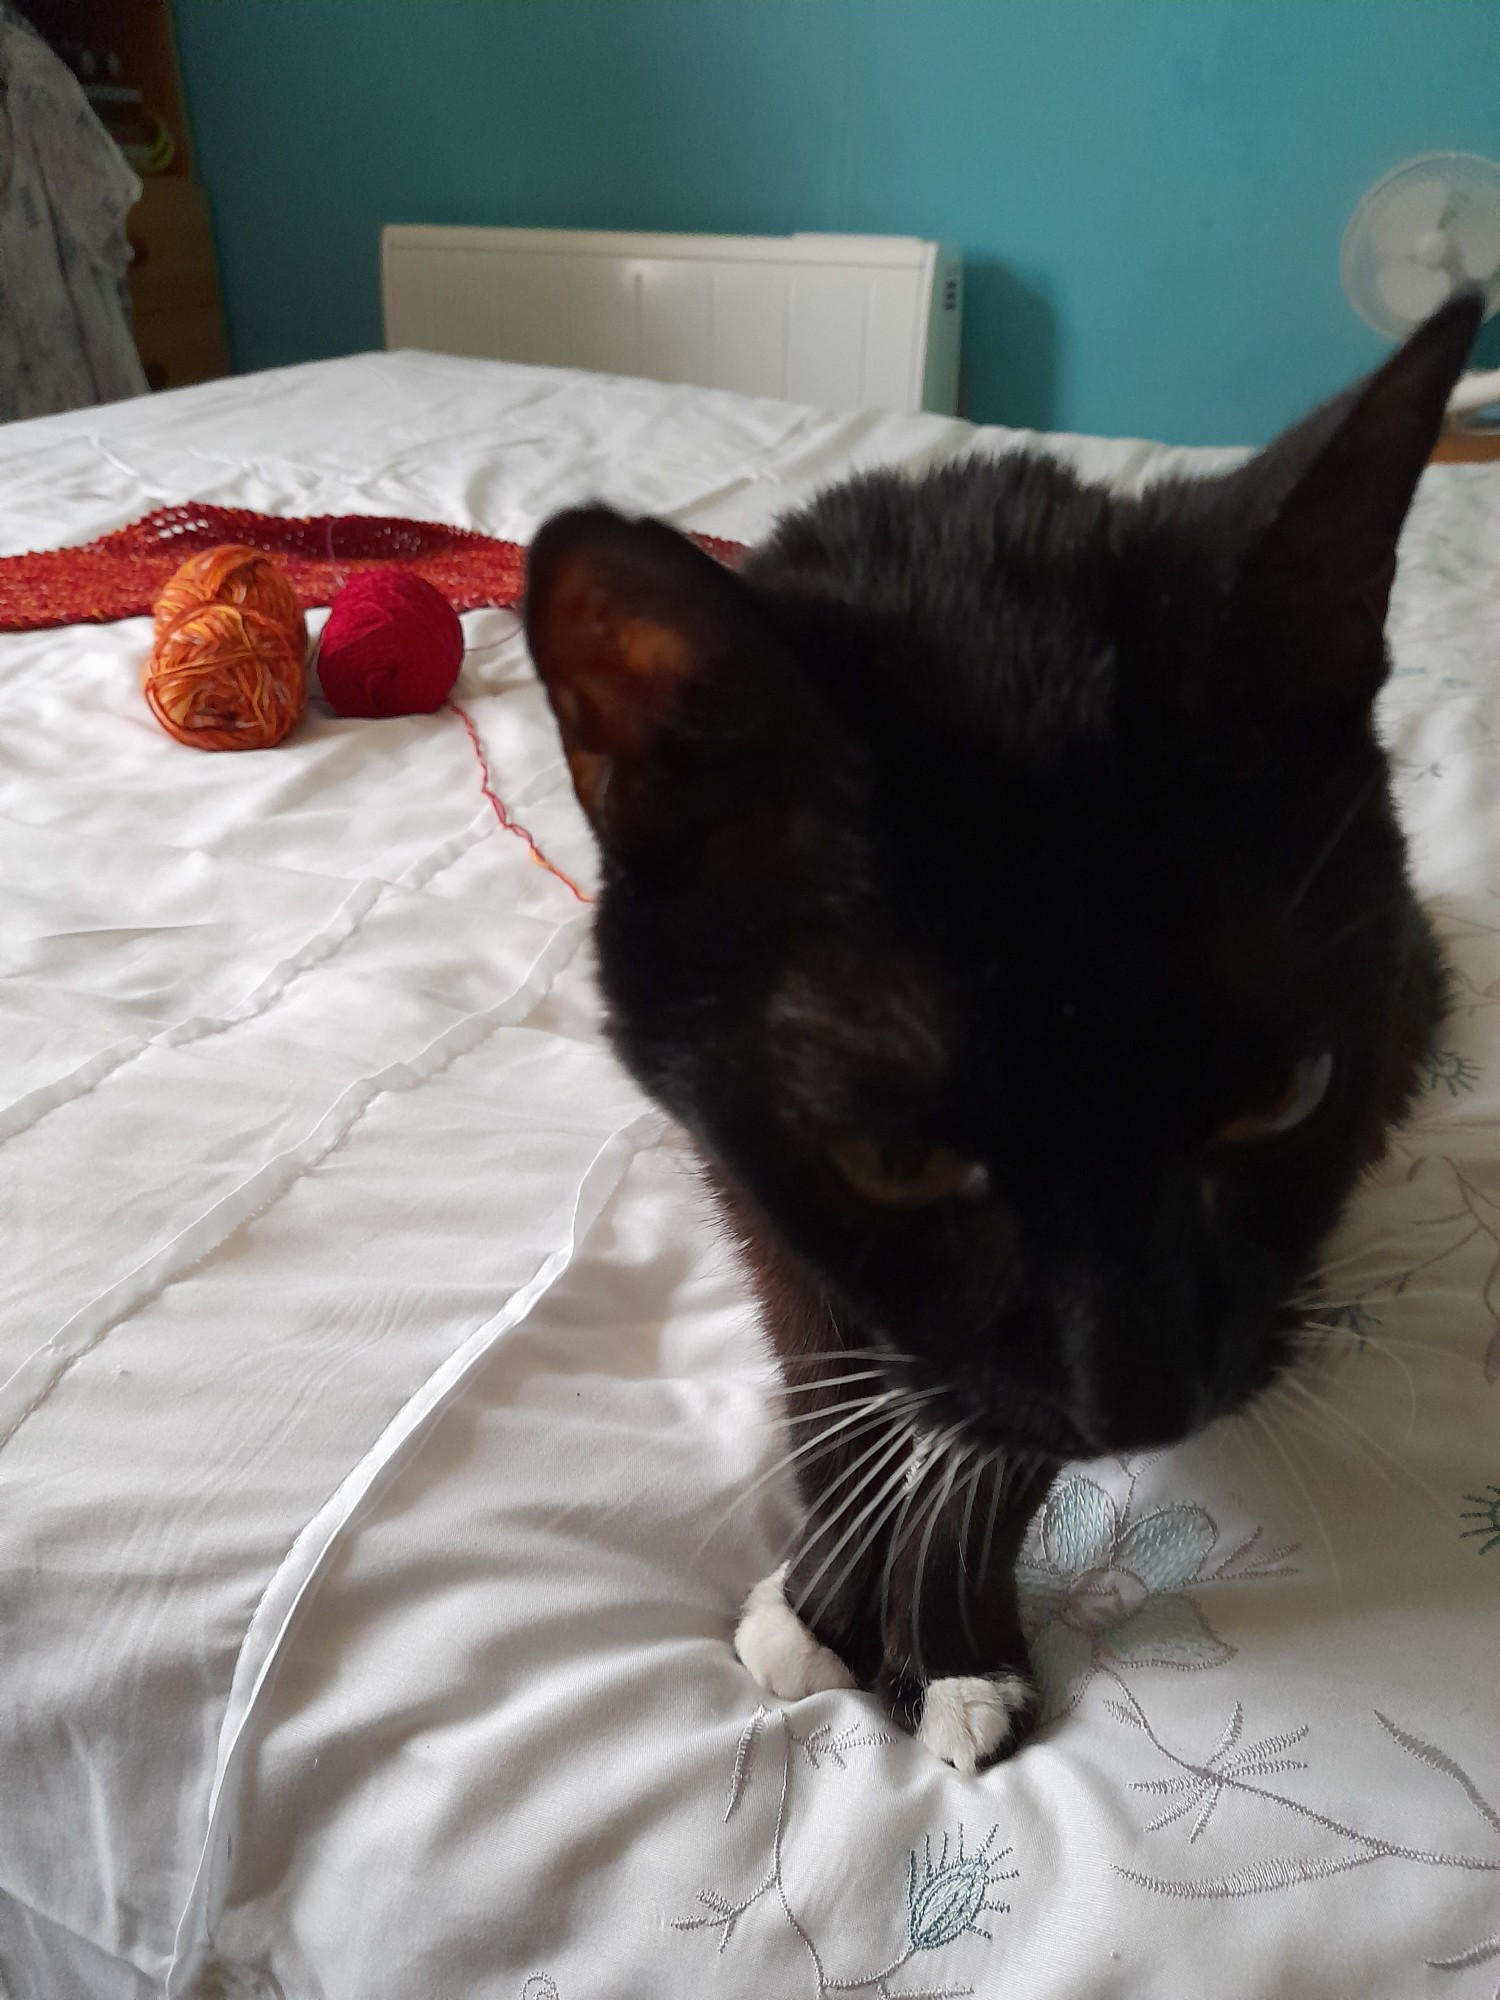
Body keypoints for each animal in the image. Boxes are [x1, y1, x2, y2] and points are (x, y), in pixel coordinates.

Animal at [524, 286, 1488, 1768]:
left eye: (1280, 1095)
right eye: (895, 1160)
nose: (1146, 1401)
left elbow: (995, 1450)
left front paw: (956, 1651)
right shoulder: (754, 1177)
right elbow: (826, 1389)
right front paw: (825, 1603)